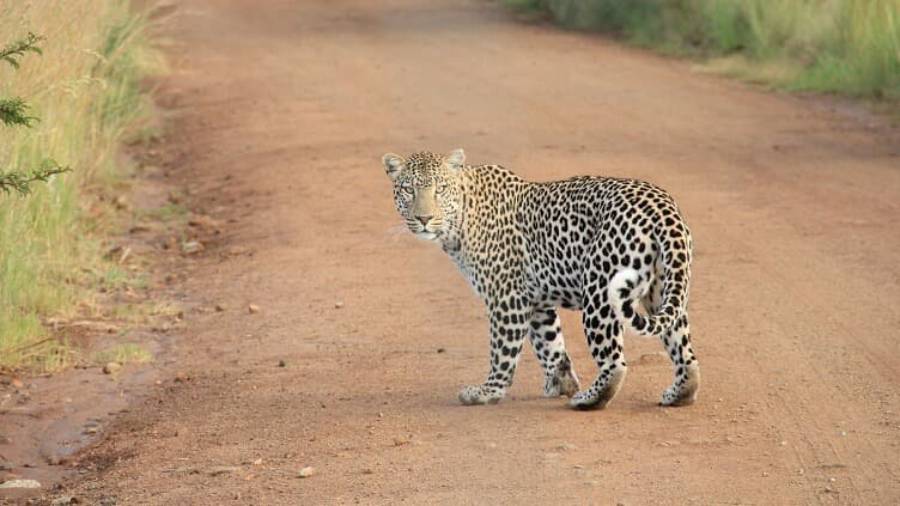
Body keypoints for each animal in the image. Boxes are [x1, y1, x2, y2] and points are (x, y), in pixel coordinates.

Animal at [381, 148, 699, 410]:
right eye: (408, 190)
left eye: (440, 190)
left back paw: (588, 399)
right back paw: (679, 394)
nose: (423, 218)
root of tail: (663, 208)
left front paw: (488, 391)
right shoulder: (535, 300)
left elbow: (503, 350)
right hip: (663, 289)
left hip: (600, 292)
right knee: (684, 351)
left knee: (614, 362)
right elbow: (550, 344)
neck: (460, 220)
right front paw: (561, 383)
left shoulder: (506, 297)